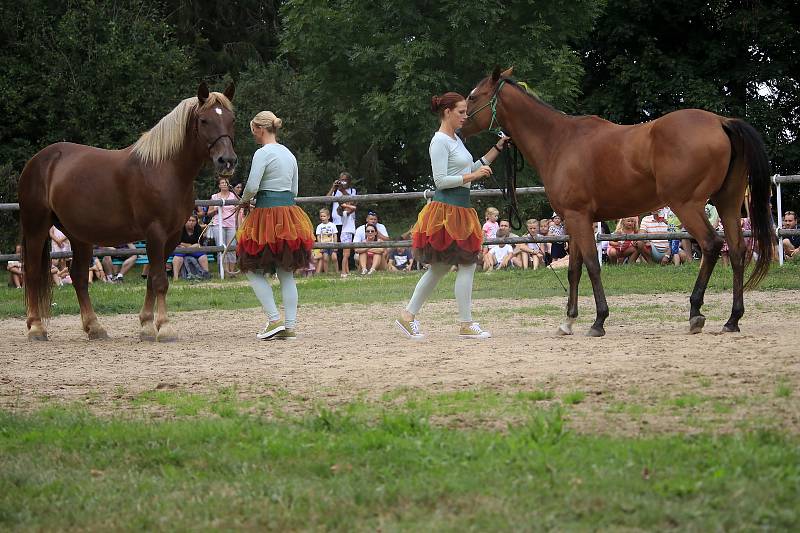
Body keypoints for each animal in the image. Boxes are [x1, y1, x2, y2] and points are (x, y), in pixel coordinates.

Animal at [19, 83, 238, 340]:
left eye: (232, 119)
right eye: (204, 120)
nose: (227, 161)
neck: (164, 169)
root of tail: (38, 160)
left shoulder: (172, 237)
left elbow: (152, 280)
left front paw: (146, 325)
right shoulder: (155, 232)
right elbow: (160, 280)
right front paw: (164, 327)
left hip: (79, 235)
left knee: (79, 277)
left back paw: (94, 327)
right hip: (37, 227)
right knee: (33, 273)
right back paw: (36, 327)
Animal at [462, 67, 776, 336]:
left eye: (473, 96)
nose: (460, 126)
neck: (559, 141)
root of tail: (721, 122)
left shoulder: (577, 217)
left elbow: (592, 264)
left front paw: (598, 320)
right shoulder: (574, 220)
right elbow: (575, 269)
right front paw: (568, 321)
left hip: (687, 205)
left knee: (712, 245)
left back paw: (696, 313)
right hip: (728, 204)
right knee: (737, 251)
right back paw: (732, 319)